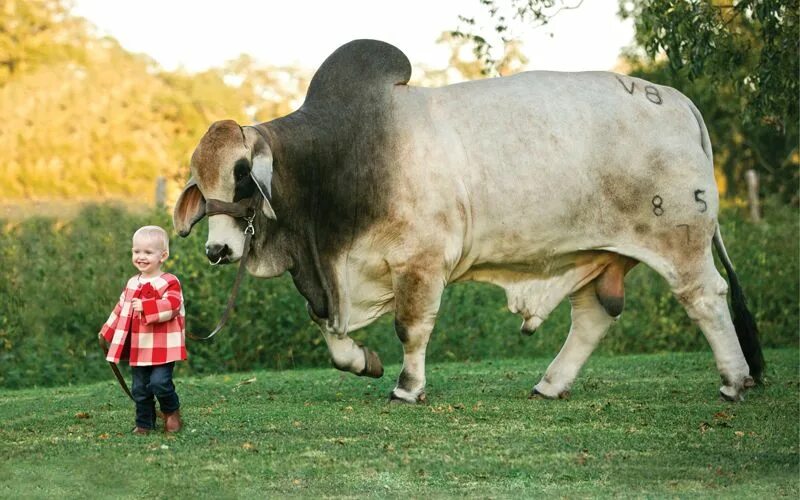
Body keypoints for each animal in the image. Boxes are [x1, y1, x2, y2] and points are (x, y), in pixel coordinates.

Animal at [173, 41, 764, 404]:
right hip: (600, 253)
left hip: (680, 239)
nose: (218, 251)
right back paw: (550, 384)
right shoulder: (331, 280)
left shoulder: (420, 263)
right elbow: (330, 333)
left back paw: (735, 380)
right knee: (594, 315)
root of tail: (681, 103)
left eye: (242, 175)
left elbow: (411, 327)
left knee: (705, 299)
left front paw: (407, 387)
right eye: (200, 183)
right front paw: (365, 361)